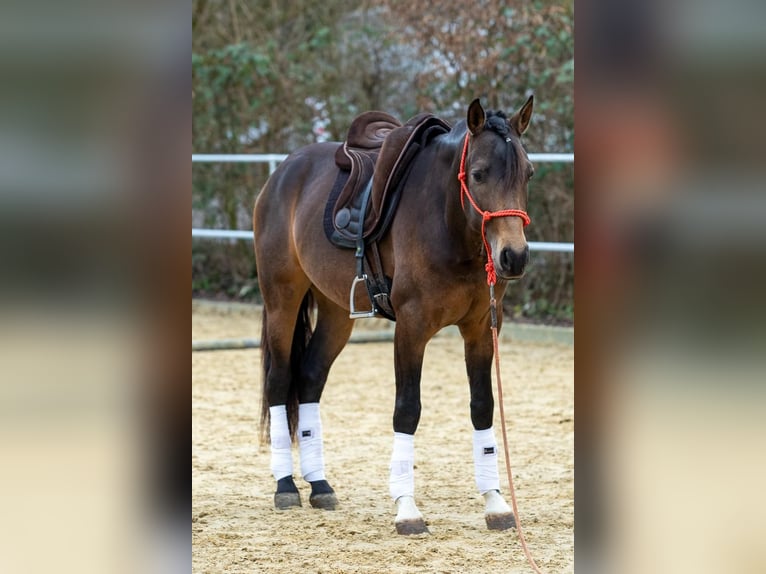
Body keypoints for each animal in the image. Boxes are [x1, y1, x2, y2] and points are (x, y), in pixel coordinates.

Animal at [253, 96, 535, 535]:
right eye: (478, 174)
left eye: (528, 173)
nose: (514, 256)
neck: (447, 221)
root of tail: (283, 172)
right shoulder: (411, 327)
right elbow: (407, 410)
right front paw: (407, 509)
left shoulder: (480, 328)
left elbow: (482, 406)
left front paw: (495, 502)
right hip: (282, 299)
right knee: (280, 382)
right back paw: (286, 486)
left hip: (337, 312)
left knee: (311, 377)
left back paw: (319, 485)